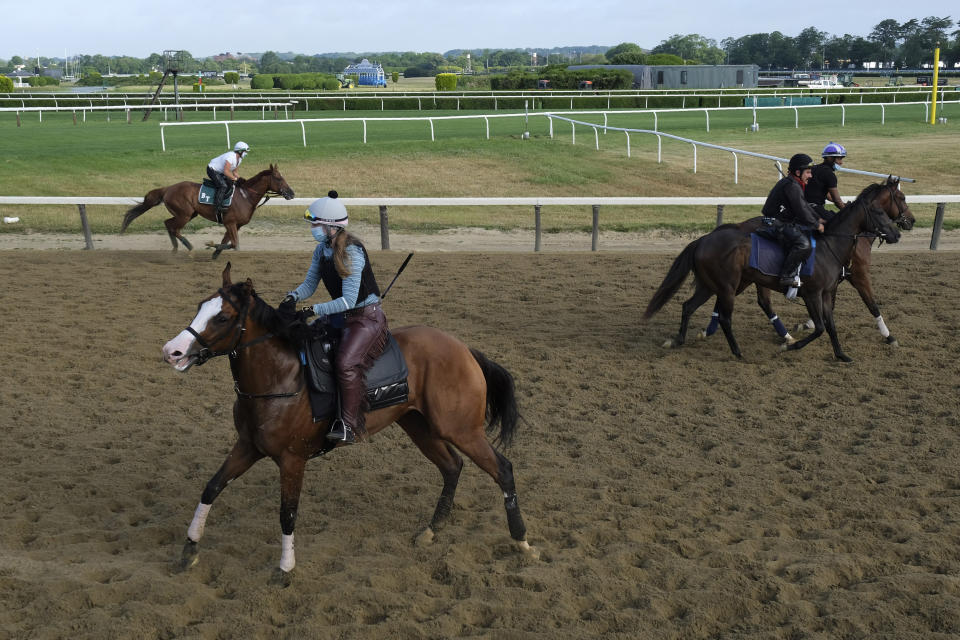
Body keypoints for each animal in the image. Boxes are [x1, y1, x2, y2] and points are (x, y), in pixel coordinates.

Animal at [124, 165, 296, 260]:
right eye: (278, 178)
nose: (291, 193)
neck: (245, 196)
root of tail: (168, 188)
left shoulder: (234, 225)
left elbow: (228, 242)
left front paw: (214, 252)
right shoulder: (230, 223)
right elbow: (235, 245)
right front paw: (210, 245)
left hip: (188, 214)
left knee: (168, 224)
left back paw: (175, 249)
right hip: (184, 214)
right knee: (174, 228)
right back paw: (190, 248)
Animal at [163, 262, 540, 584]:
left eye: (223, 317)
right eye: (200, 306)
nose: (172, 352)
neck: (281, 377)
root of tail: (464, 350)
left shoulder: (292, 459)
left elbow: (288, 514)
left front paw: (285, 569)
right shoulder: (248, 447)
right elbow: (211, 488)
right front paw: (189, 550)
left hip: (461, 429)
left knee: (503, 469)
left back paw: (522, 541)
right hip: (419, 426)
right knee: (452, 467)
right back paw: (432, 530)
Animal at [640, 185, 904, 362]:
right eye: (879, 212)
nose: (898, 233)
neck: (830, 245)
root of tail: (703, 240)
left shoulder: (827, 293)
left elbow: (830, 325)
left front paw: (841, 354)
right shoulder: (812, 293)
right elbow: (820, 327)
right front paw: (789, 347)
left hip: (711, 285)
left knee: (688, 306)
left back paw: (679, 339)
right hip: (727, 286)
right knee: (726, 317)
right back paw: (738, 352)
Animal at [696, 176, 916, 344]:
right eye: (902, 197)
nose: (911, 221)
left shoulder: (832, 282)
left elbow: (830, 307)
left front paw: (807, 324)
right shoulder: (859, 275)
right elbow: (872, 304)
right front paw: (889, 336)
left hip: (749, 277)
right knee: (746, 298)